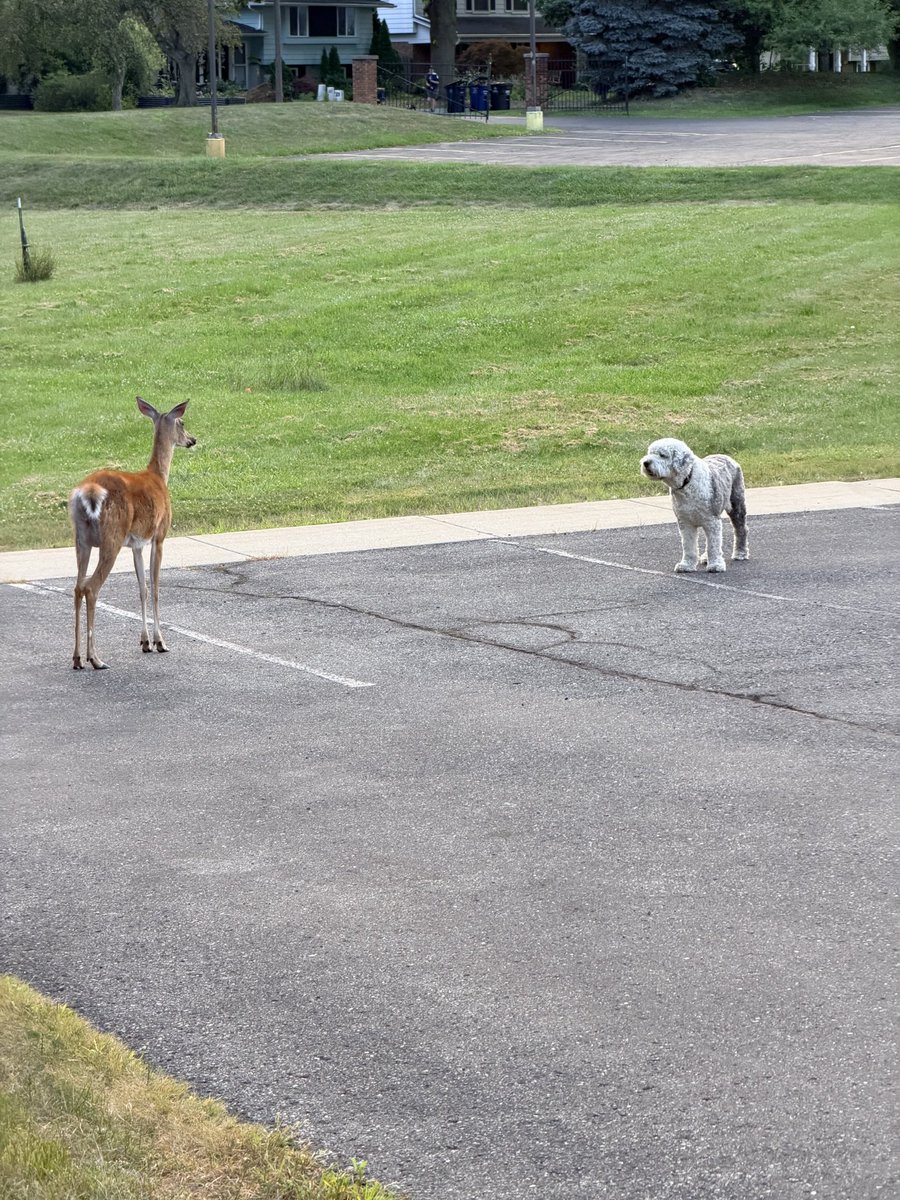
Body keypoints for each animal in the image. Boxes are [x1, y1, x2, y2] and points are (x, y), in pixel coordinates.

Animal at [69, 397, 196, 670]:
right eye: (182, 422)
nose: (193, 439)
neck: (159, 477)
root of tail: (87, 491)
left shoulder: (137, 544)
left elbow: (142, 589)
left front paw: (145, 642)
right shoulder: (159, 536)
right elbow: (156, 588)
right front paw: (160, 642)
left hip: (81, 539)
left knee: (77, 587)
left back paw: (77, 658)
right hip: (112, 537)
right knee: (91, 588)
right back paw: (95, 659)